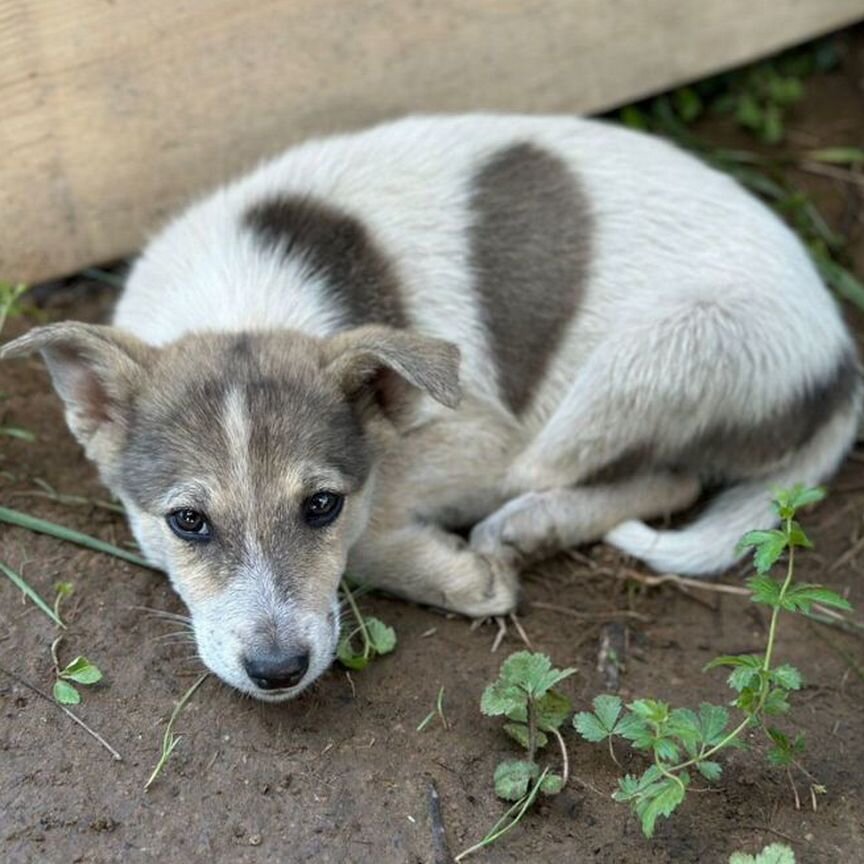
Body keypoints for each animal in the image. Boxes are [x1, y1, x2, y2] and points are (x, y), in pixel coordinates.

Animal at [3, 115, 860, 704]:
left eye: (321, 506)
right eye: (187, 522)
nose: (279, 672)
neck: (245, 298)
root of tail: (841, 365)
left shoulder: (476, 438)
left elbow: (371, 531)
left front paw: (462, 572)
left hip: (652, 357)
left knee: (654, 476)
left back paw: (522, 529)